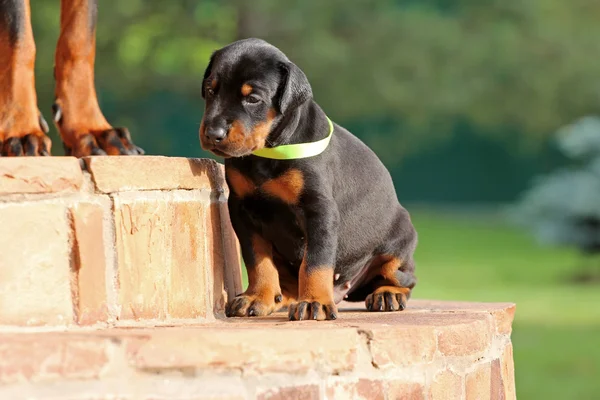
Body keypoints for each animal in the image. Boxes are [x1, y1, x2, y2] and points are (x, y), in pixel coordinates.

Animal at [199, 39, 414, 322]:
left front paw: (314, 302)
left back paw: (388, 293)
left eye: (253, 99)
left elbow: (315, 261)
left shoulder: (319, 209)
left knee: (403, 277)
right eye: (210, 90)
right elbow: (257, 259)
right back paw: (280, 297)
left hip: (398, 241)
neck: (269, 151)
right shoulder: (242, 210)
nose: (213, 133)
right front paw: (257, 297)